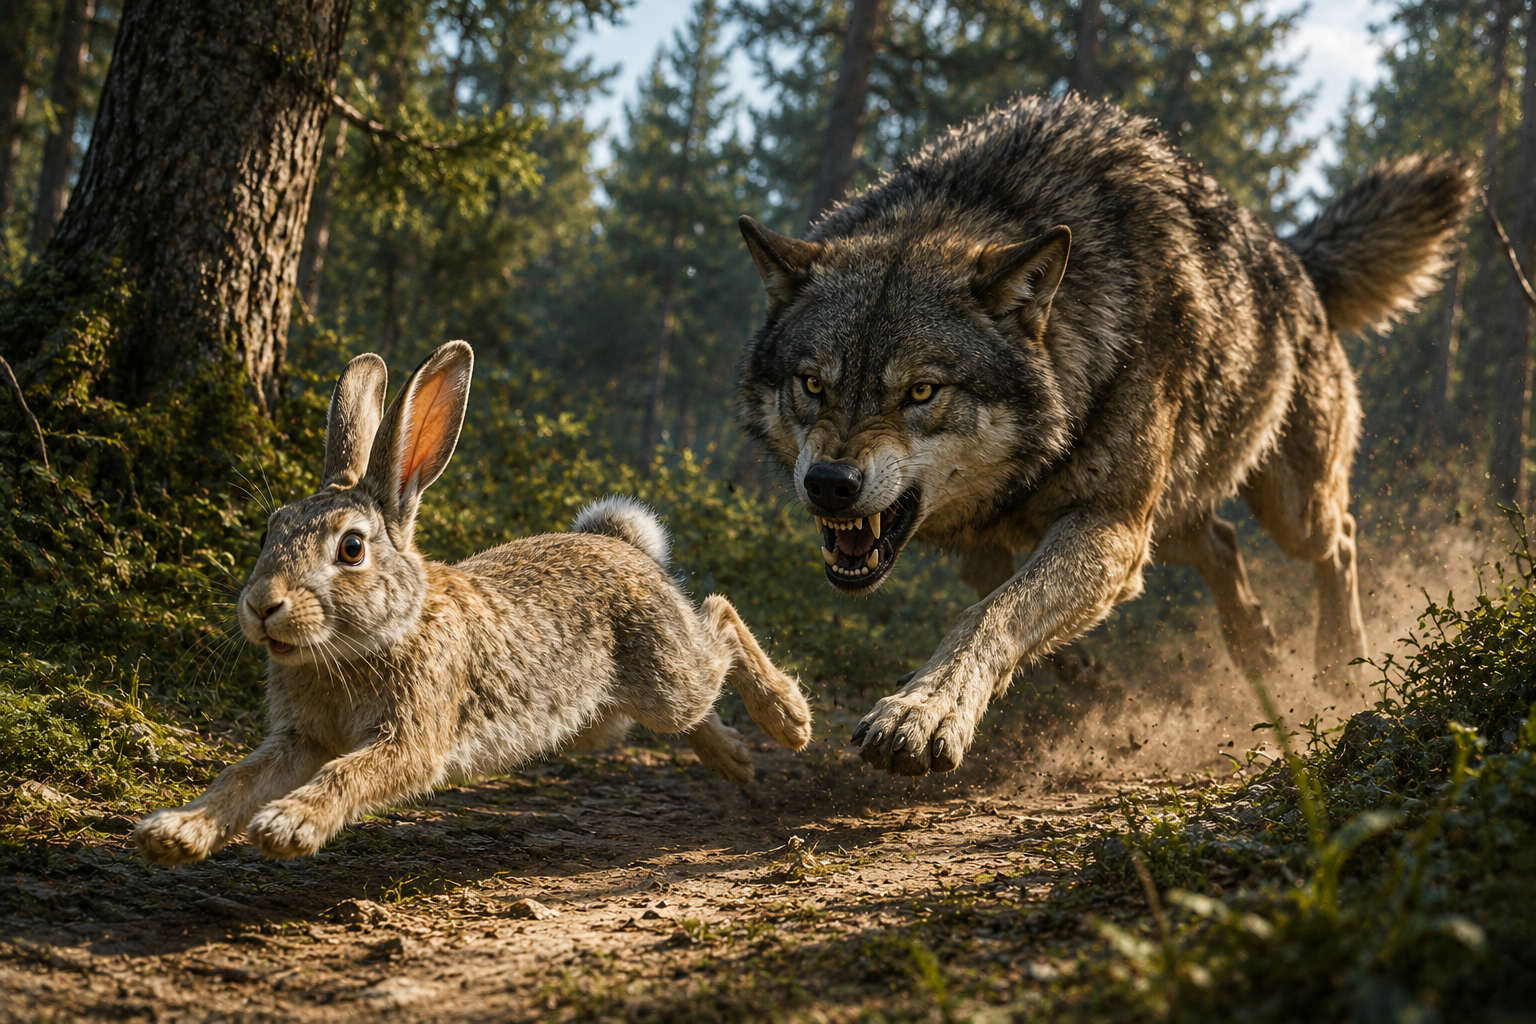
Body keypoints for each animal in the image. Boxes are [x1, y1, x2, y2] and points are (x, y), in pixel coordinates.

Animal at [134, 341, 813, 866]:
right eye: (269, 531)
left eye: (351, 547)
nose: (261, 606)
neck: (378, 635)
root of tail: (625, 546)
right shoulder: (299, 738)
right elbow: (239, 777)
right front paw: (174, 834)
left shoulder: (412, 739)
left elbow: (349, 773)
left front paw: (287, 827)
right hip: (599, 720)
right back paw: (733, 760)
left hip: (664, 677)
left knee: (719, 621)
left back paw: (787, 716)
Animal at [734, 94, 1473, 778]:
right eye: (813, 385)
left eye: (920, 392)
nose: (829, 485)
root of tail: (1293, 255)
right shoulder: (1006, 539)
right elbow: (1004, 600)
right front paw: (1085, 678)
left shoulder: (1109, 523)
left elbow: (991, 613)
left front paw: (926, 709)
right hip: (1170, 520)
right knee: (1223, 543)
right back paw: (1258, 646)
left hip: (1285, 510)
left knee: (1338, 538)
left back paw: (1337, 661)